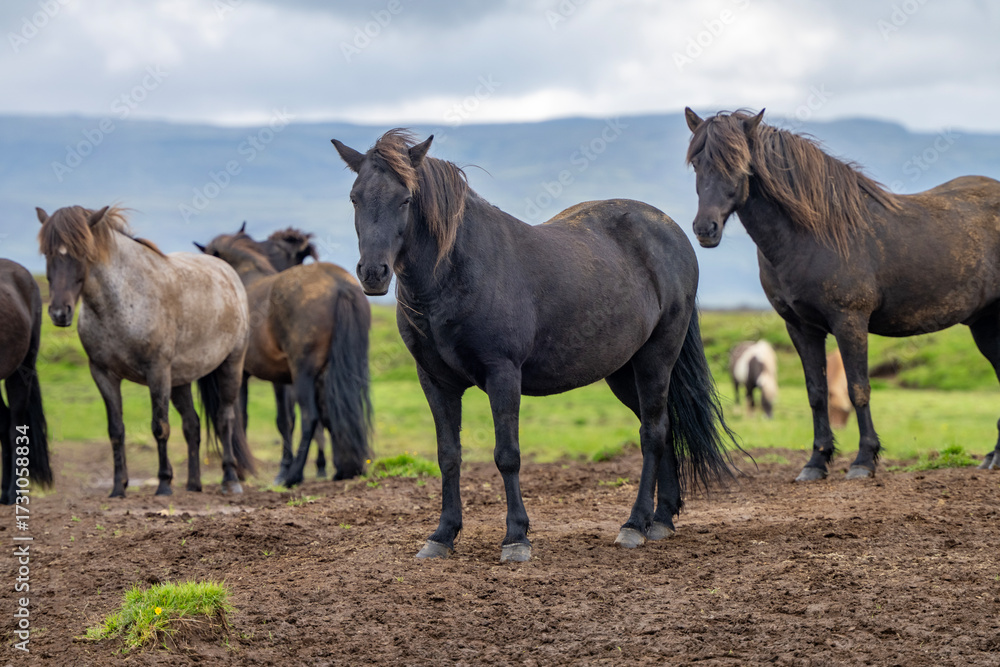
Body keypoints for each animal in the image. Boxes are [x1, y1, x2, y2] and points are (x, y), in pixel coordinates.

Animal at [38, 205, 254, 497]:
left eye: (82, 252)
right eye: (48, 253)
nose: (60, 313)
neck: (122, 302)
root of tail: (228, 272)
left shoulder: (157, 372)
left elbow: (159, 427)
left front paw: (163, 484)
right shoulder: (103, 374)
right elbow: (116, 430)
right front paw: (118, 487)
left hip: (230, 365)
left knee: (225, 419)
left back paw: (230, 480)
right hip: (181, 380)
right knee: (193, 424)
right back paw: (193, 484)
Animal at [197, 229, 372, 486]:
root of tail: (339, 284)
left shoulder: (247, 374)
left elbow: (247, 418)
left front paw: (246, 470)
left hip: (304, 375)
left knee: (310, 418)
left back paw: (294, 475)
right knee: (338, 412)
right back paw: (343, 469)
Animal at [332, 129, 739, 562]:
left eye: (406, 199)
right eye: (355, 197)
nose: (373, 273)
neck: (454, 274)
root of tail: (674, 234)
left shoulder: (503, 374)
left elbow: (507, 455)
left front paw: (516, 537)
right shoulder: (435, 382)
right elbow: (449, 456)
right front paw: (442, 535)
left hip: (656, 359)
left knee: (653, 432)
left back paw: (634, 524)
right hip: (623, 372)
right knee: (663, 426)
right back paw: (661, 519)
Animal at [684, 107, 1000, 480]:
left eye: (740, 163)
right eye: (697, 162)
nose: (705, 229)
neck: (813, 234)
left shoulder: (850, 322)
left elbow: (857, 388)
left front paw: (864, 460)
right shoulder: (801, 327)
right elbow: (816, 392)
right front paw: (816, 462)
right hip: (984, 324)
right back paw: (993, 457)